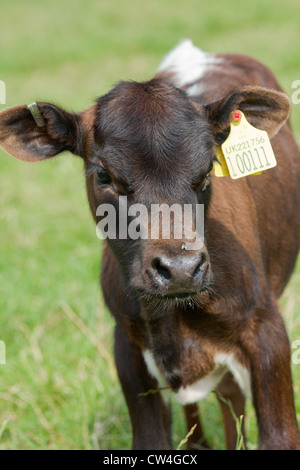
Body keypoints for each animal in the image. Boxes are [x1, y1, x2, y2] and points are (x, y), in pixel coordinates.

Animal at [0, 39, 300, 448]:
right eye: (104, 175)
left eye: (208, 170)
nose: (181, 270)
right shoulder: (127, 348)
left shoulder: (267, 332)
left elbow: (279, 433)